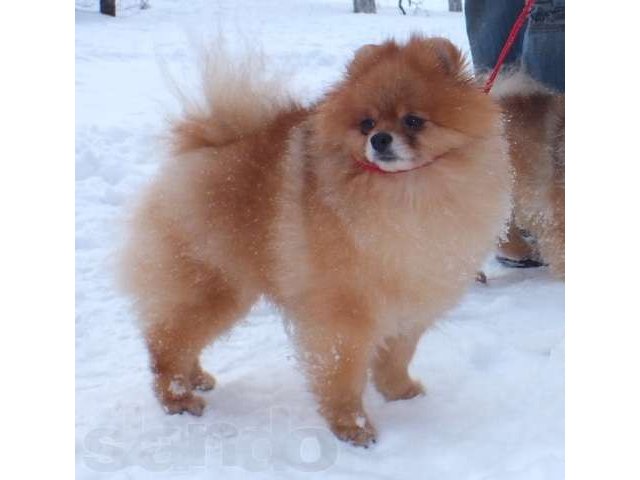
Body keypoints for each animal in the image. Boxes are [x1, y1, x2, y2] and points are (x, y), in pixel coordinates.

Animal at [119, 36, 510, 446]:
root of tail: (202, 146)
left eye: (413, 121)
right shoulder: (343, 311)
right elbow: (343, 372)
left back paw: (195, 377)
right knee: (166, 340)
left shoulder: (412, 298)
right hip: (214, 284)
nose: (379, 139)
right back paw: (177, 396)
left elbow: (397, 355)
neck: (407, 193)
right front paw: (352, 426)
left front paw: (400, 392)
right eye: (367, 124)